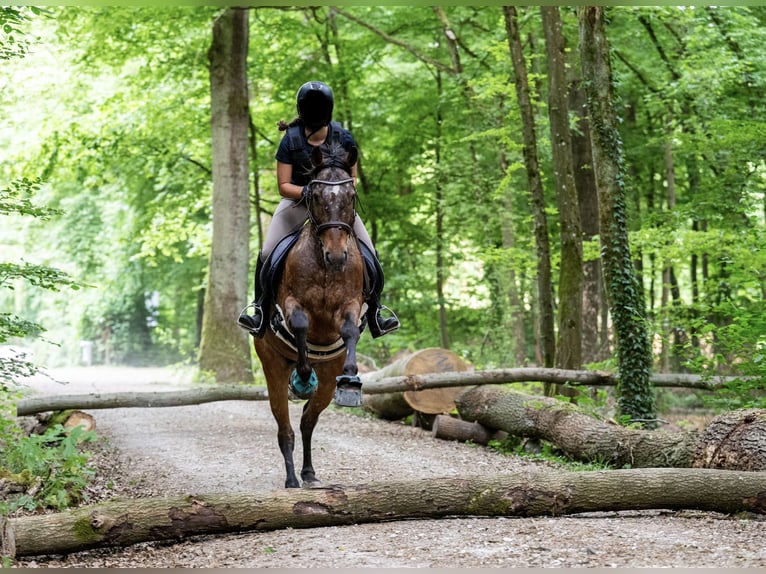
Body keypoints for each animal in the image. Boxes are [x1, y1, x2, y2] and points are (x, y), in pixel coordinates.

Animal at [254, 143, 366, 488]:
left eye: (350, 195)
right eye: (315, 195)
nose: (337, 255)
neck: (325, 264)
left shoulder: (350, 304)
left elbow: (350, 331)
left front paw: (351, 378)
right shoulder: (292, 303)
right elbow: (301, 325)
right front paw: (303, 376)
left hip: (327, 380)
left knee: (307, 422)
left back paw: (308, 473)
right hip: (272, 367)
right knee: (285, 428)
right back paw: (292, 478)